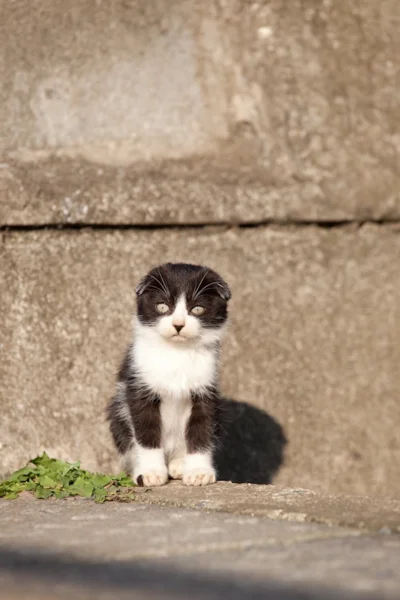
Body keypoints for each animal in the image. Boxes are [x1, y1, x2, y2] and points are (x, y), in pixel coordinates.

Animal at [106, 262, 231, 488]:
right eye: (163, 307)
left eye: (197, 309)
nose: (178, 324)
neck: (176, 353)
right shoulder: (139, 385)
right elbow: (146, 430)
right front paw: (150, 472)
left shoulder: (205, 389)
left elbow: (202, 428)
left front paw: (198, 471)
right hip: (117, 413)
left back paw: (179, 464)